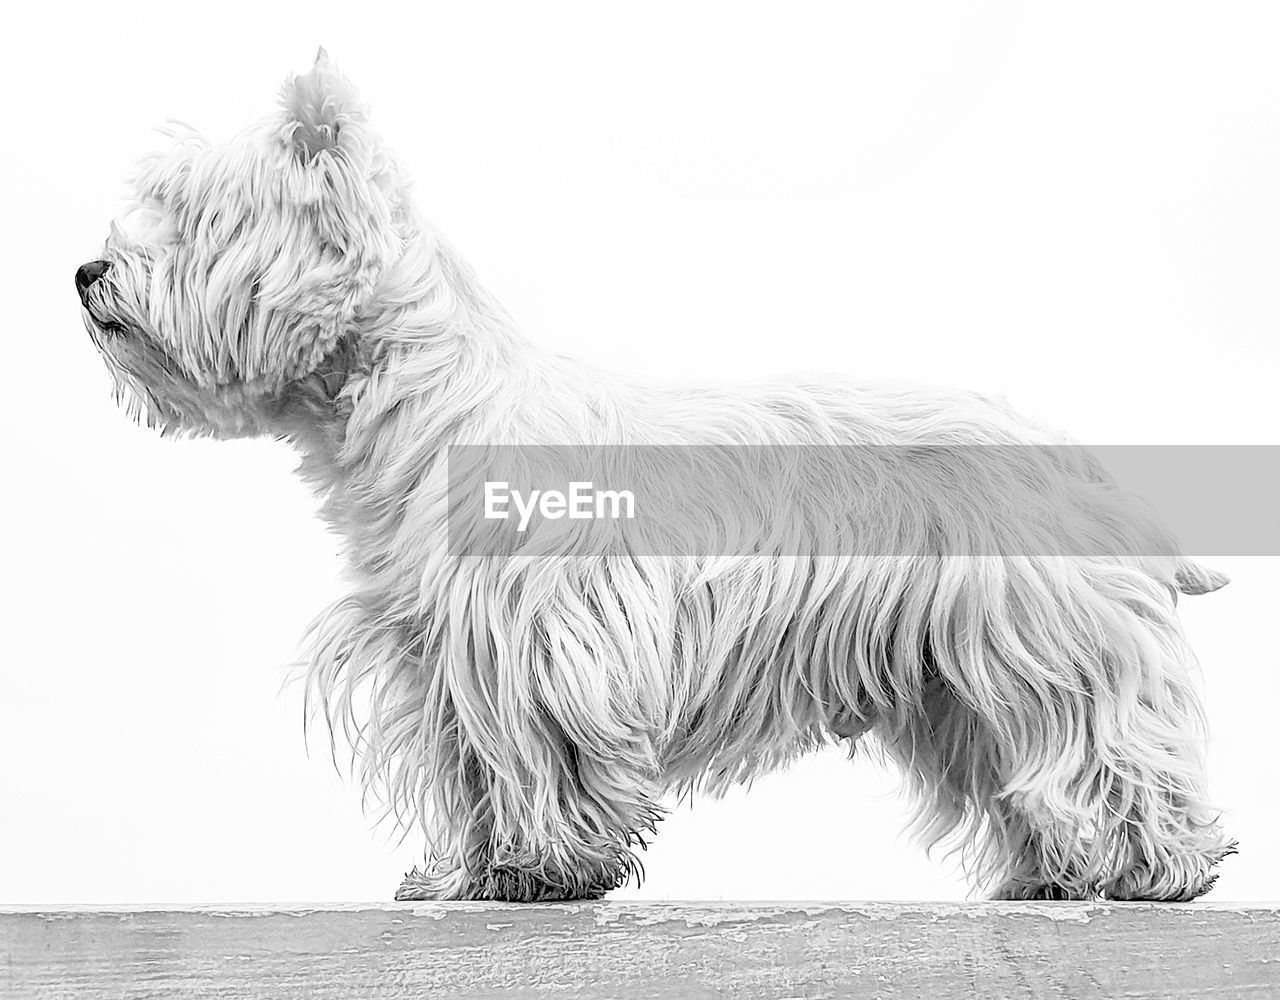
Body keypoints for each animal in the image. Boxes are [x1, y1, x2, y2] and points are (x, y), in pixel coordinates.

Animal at [74, 50, 1233, 901]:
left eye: (190, 216)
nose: (86, 271)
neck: (412, 408)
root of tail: (1072, 454)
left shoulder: (534, 635)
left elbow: (541, 753)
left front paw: (548, 868)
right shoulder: (439, 652)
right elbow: (468, 768)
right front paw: (467, 873)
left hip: (1038, 637)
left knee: (1106, 744)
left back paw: (1153, 869)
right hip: (956, 677)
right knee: (1023, 767)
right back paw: (1054, 876)